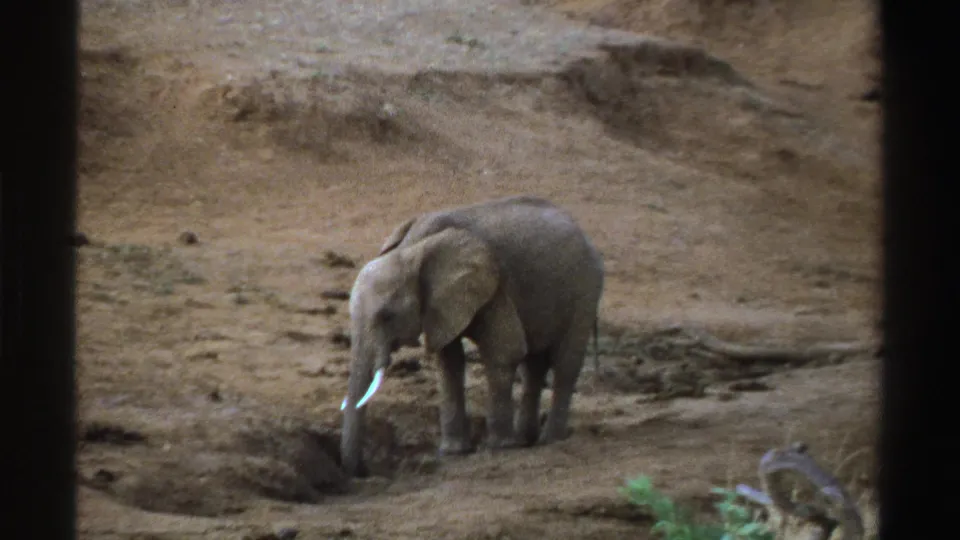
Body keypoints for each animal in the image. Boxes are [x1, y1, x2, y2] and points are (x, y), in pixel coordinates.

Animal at [339, 195, 604, 477]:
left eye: (387, 316)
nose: (363, 470)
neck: (411, 249)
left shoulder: (494, 286)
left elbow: (504, 351)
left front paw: (500, 447)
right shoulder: (440, 304)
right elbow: (448, 362)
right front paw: (453, 452)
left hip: (585, 290)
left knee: (565, 363)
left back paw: (549, 440)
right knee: (534, 365)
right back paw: (527, 439)